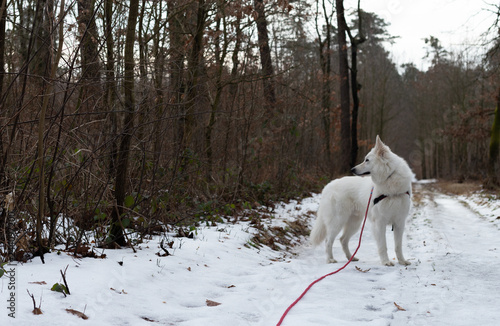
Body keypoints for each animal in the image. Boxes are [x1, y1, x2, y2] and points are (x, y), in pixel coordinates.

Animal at [310, 136, 412, 266]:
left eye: (367, 160)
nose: (352, 169)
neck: (390, 178)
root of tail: (328, 186)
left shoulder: (399, 223)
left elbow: (398, 246)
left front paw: (402, 261)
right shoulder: (379, 223)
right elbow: (383, 246)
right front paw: (385, 261)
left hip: (354, 224)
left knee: (343, 240)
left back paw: (351, 258)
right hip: (337, 221)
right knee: (328, 240)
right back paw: (330, 259)